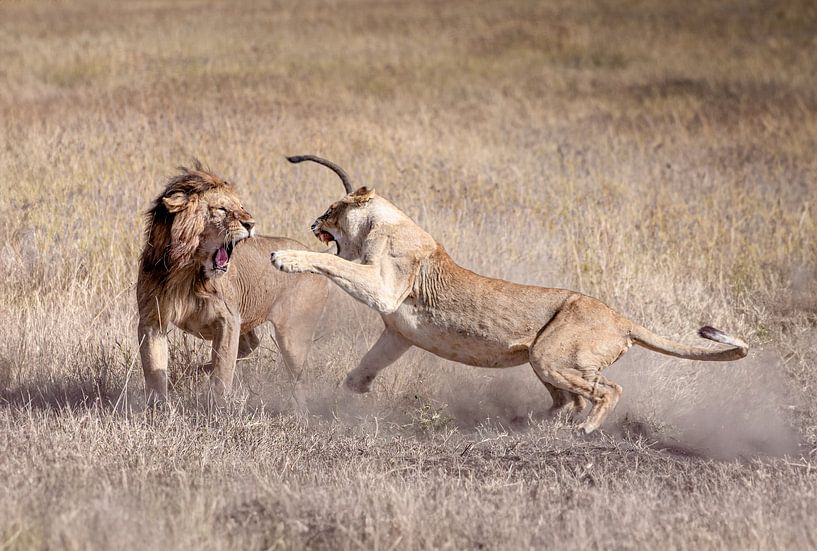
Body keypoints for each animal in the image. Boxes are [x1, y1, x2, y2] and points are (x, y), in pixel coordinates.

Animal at [137, 161, 329, 404]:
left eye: (241, 207)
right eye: (221, 209)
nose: (251, 223)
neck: (186, 271)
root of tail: (314, 254)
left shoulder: (229, 318)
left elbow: (223, 369)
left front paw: (218, 405)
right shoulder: (152, 318)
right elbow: (153, 368)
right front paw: (157, 405)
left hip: (293, 335)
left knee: (300, 378)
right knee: (251, 344)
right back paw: (194, 371)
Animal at [271, 155, 749, 434]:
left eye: (332, 210)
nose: (313, 223)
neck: (383, 223)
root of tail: (621, 318)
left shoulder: (385, 289)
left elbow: (333, 264)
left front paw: (284, 257)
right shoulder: (399, 332)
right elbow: (367, 364)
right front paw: (352, 392)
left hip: (552, 354)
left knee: (607, 390)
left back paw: (583, 430)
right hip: (547, 358)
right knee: (570, 399)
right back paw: (527, 424)